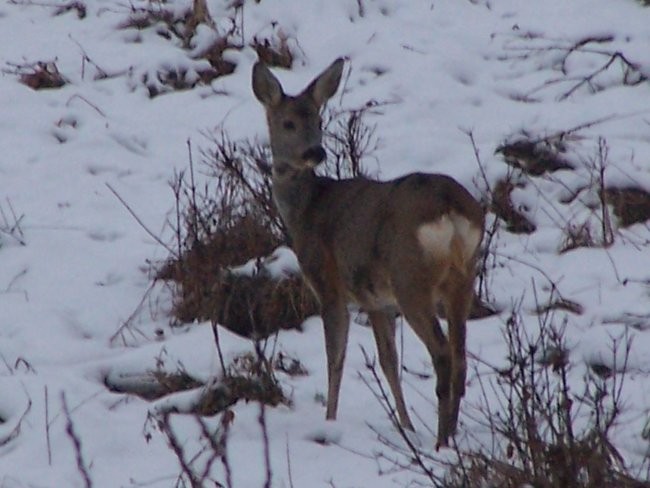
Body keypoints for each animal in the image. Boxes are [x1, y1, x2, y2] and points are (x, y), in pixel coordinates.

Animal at [251, 57, 484, 446]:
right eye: (289, 122)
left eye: (318, 120)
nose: (315, 152)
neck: (305, 210)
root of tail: (450, 207)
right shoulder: (376, 300)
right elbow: (389, 361)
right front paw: (406, 426)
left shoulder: (329, 283)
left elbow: (336, 357)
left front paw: (329, 421)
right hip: (464, 277)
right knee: (460, 354)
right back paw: (450, 437)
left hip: (410, 278)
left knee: (442, 354)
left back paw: (440, 442)